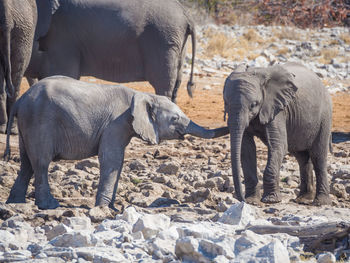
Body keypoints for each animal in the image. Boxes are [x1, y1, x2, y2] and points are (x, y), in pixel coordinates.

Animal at [4, 76, 230, 210]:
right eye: (175, 119)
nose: (228, 120)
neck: (142, 95)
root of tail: (20, 100)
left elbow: (118, 162)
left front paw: (112, 208)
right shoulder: (116, 123)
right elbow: (111, 159)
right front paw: (104, 209)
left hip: (28, 124)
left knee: (26, 163)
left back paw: (15, 203)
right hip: (39, 121)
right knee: (41, 163)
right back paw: (50, 206)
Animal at [223, 62, 332, 206]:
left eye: (253, 105)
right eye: (226, 103)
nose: (242, 199)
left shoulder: (277, 109)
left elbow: (278, 145)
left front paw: (271, 200)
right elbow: (246, 149)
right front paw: (252, 201)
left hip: (324, 117)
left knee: (318, 156)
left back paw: (320, 202)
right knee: (302, 157)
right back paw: (303, 199)